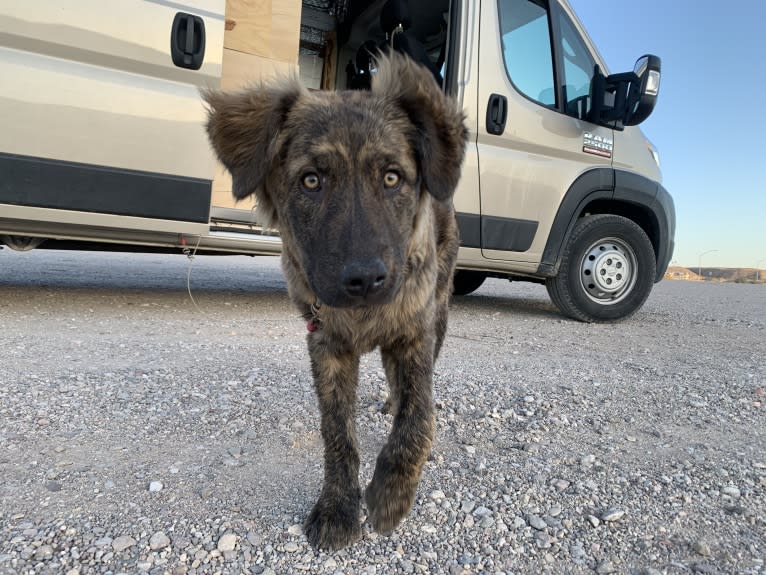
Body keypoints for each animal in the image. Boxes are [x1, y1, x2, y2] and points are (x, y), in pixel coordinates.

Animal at [204, 55, 468, 552]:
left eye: (392, 177)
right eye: (312, 181)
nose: (364, 279)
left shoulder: (415, 332)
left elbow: (419, 417)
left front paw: (390, 493)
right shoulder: (325, 345)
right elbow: (337, 432)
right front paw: (338, 506)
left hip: (440, 309)